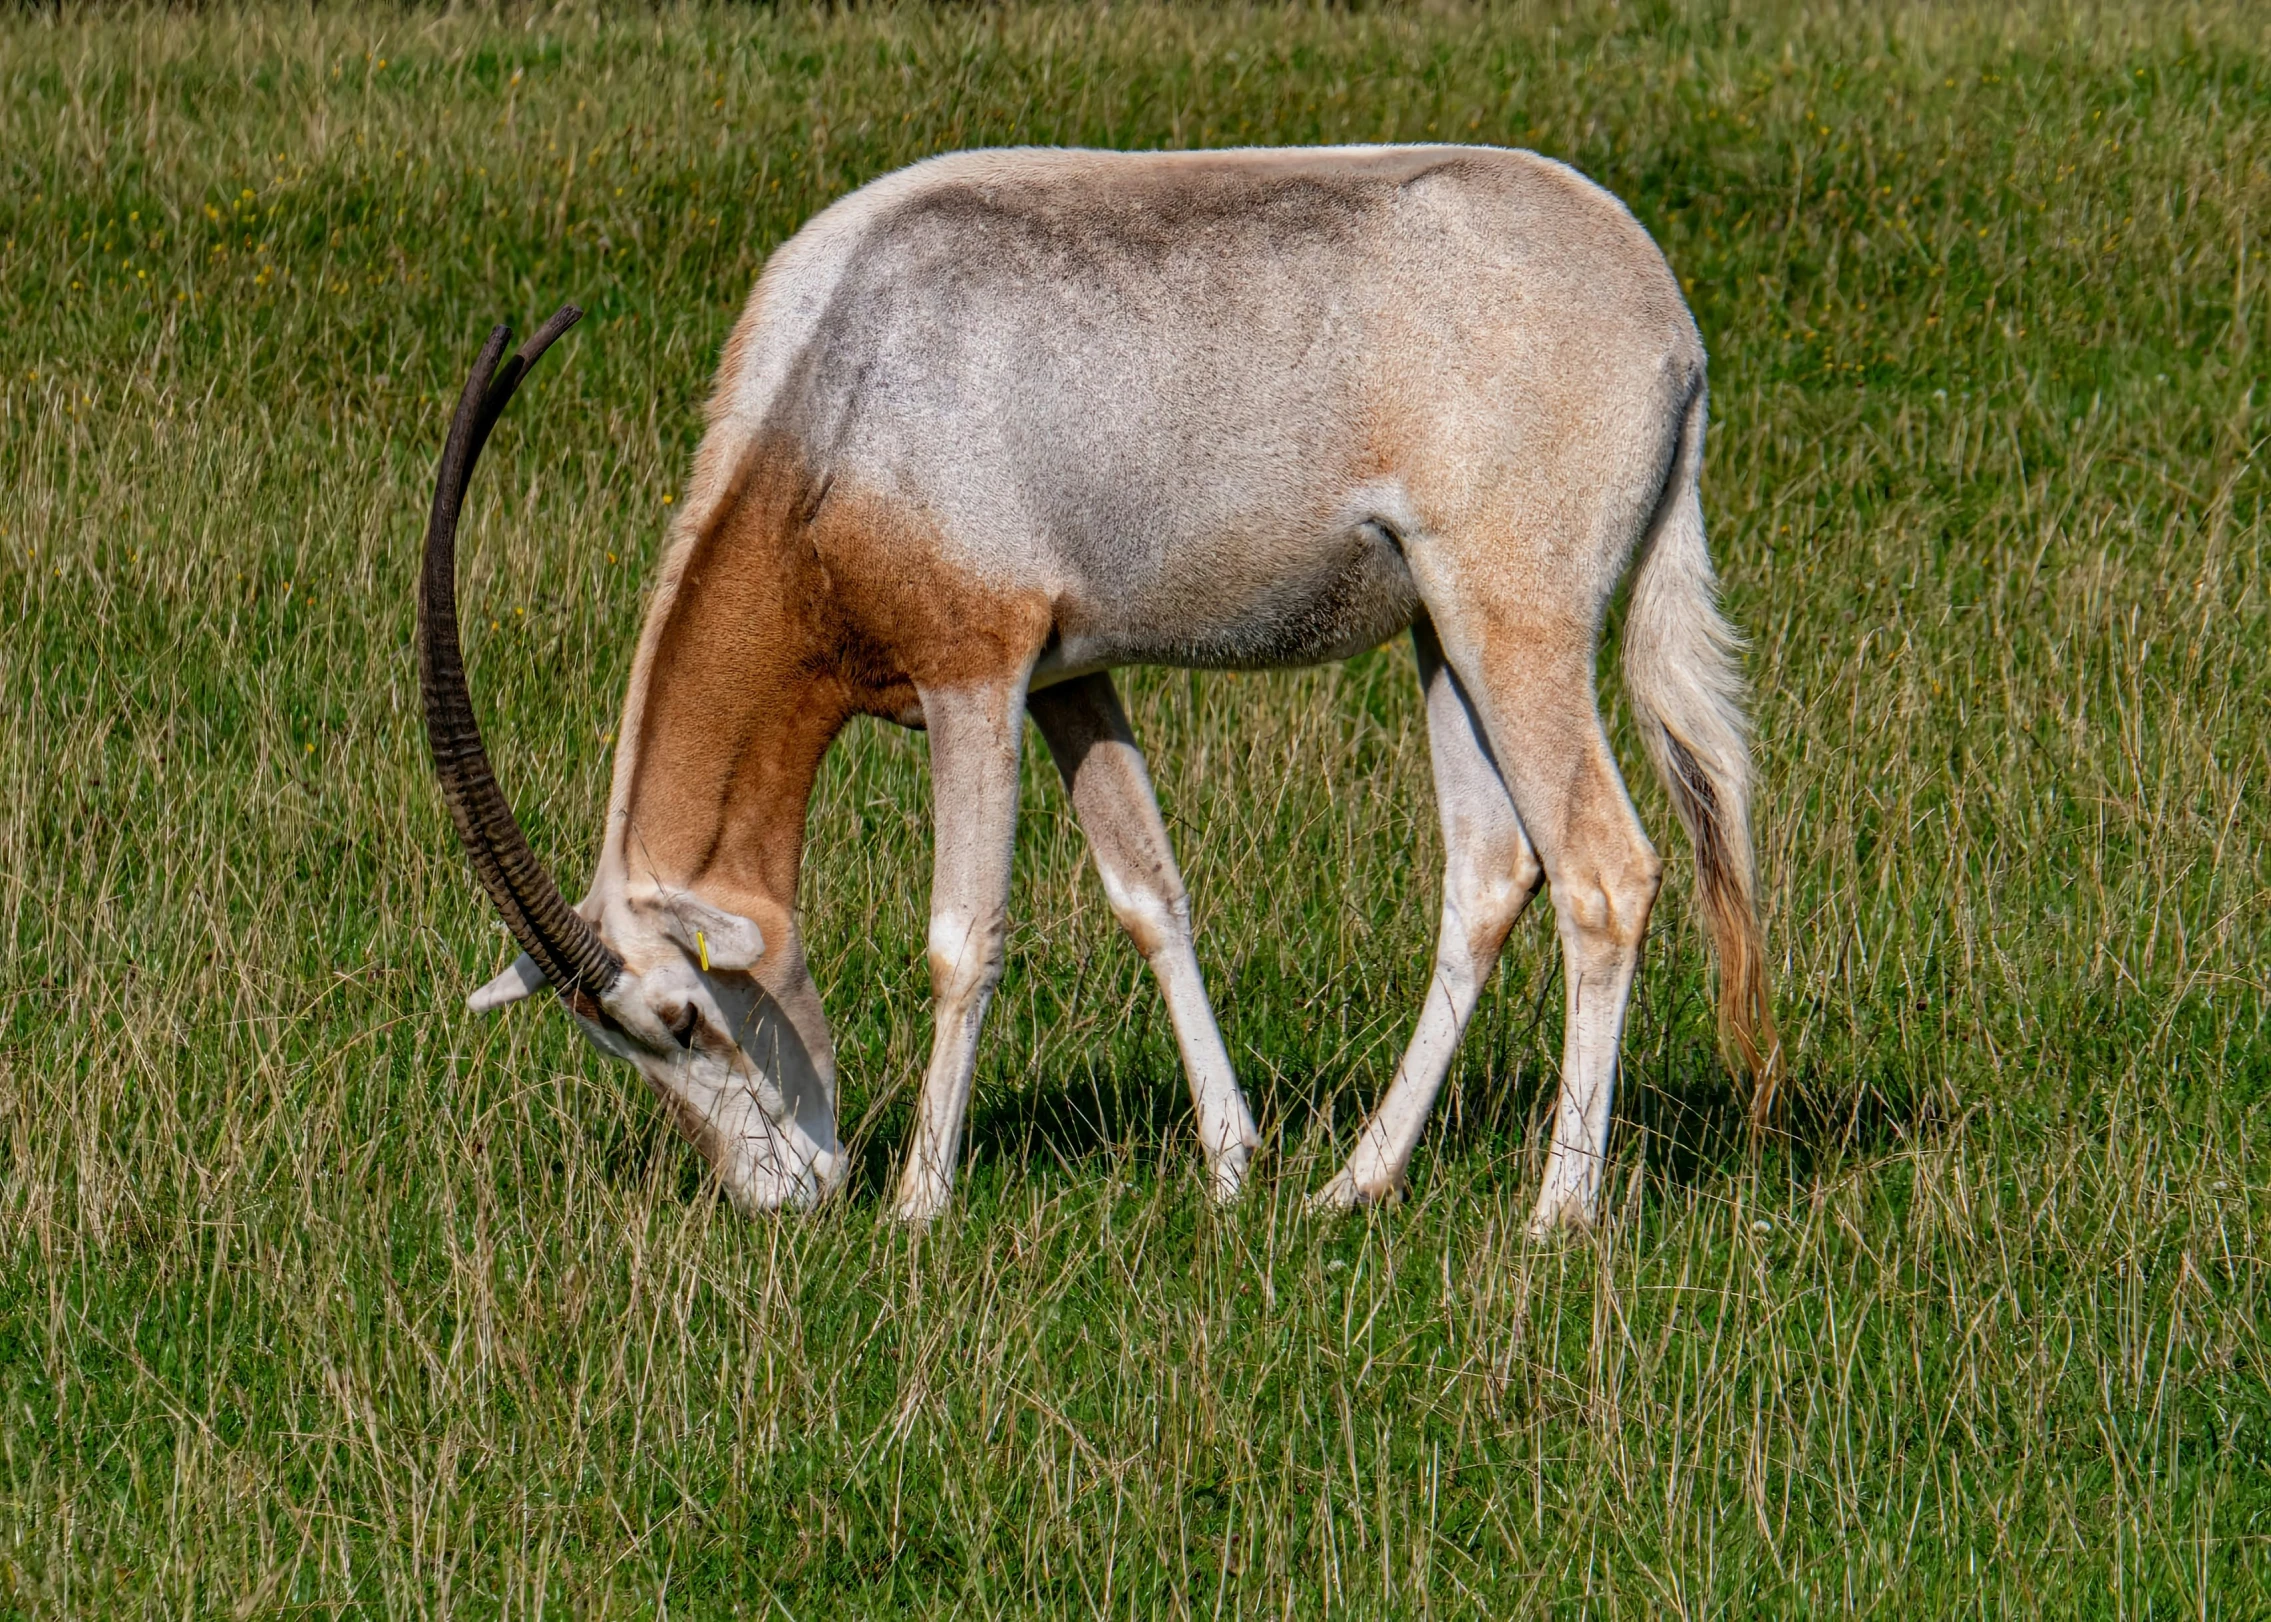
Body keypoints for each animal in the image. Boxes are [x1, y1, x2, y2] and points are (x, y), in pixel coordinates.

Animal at [422, 145, 1771, 1235]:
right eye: (620, 1043)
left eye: (684, 1017)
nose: (787, 1194)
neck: (839, 388)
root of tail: (1670, 322)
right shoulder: (1072, 678)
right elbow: (1148, 892)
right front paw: (1232, 1162)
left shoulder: (976, 671)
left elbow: (962, 936)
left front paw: (921, 1200)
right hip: (1445, 634)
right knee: (1492, 870)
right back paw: (1356, 1179)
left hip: (1516, 622)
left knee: (1604, 872)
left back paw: (1557, 1210)